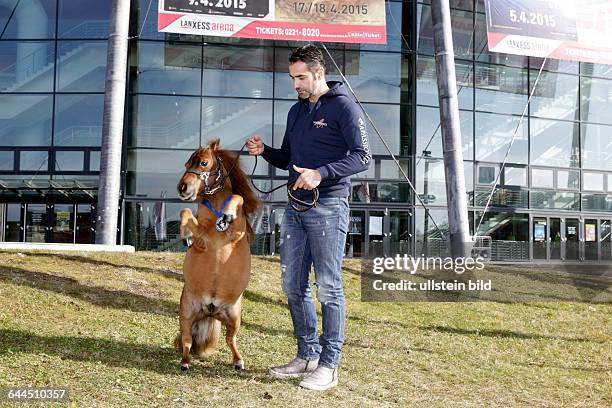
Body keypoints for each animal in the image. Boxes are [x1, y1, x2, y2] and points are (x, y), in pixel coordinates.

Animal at [173, 139, 260, 372]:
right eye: (186, 164)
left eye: (204, 163)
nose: (182, 188)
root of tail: (211, 310)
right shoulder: (202, 240)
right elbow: (185, 212)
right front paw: (185, 234)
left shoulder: (237, 232)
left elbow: (238, 198)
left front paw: (228, 214)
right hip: (186, 315)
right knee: (187, 340)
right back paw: (185, 362)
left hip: (235, 317)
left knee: (231, 340)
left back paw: (238, 360)